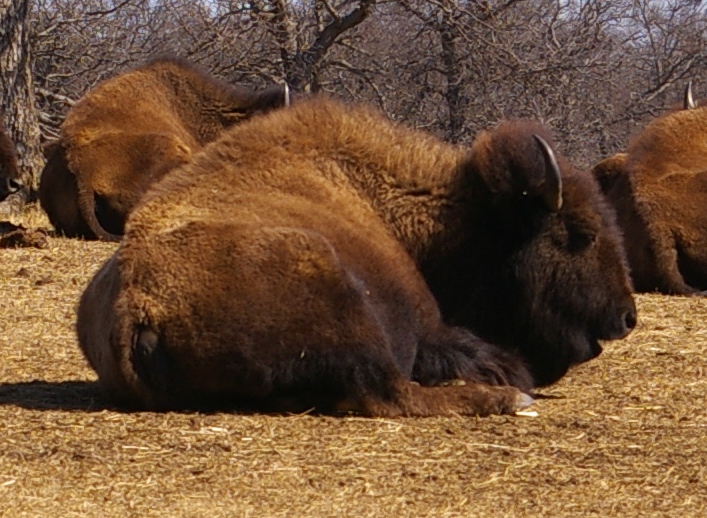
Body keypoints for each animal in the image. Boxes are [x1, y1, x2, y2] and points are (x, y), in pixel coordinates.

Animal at [76, 96, 636, 418]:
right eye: (580, 234)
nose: (627, 317)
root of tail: (138, 302)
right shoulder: (428, 329)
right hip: (336, 291)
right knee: (392, 396)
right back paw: (507, 401)